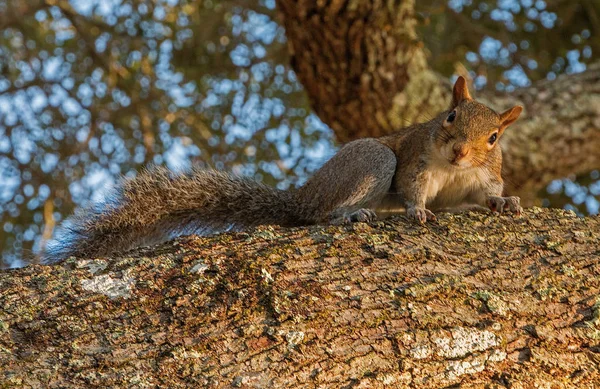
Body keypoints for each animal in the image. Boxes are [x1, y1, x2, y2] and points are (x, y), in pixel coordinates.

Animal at [43, 76, 520, 264]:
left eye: (494, 138)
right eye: (451, 116)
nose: (459, 152)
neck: (453, 169)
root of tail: (303, 196)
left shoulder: (482, 175)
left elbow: (487, 192)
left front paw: (505, 201)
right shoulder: (415, 162)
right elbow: (412, 189)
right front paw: (418, 210)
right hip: (372, 161)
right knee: (323, 214)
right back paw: (350, 214)